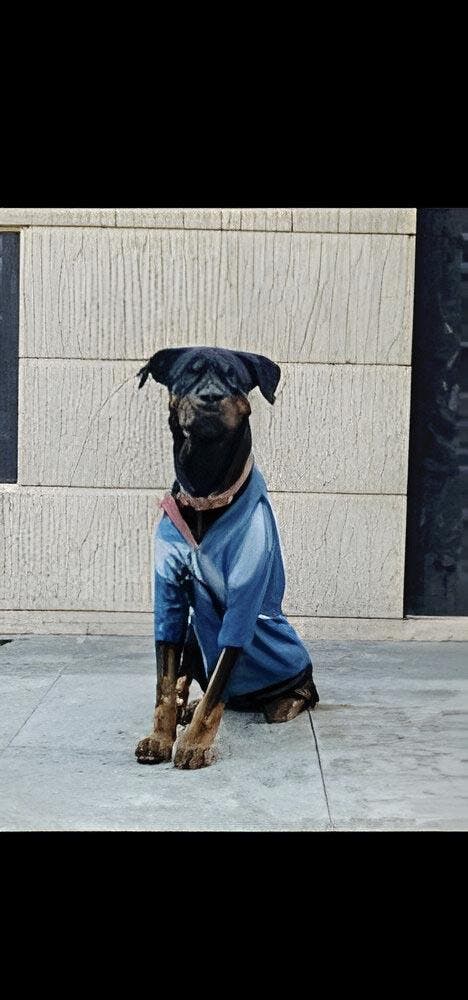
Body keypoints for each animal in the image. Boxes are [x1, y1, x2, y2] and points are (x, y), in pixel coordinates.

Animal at [135, 348, 318, 768]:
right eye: (188, 374)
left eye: (233, 376)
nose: (210, 397)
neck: (206, 491)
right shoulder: (169, 596)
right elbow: (164, 681)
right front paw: (160, 737)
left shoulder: (242, 603)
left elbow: (219, 683)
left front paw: (193, 745)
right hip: (191, 631)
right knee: (188, 675)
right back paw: (186, 704)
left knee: (300, 692)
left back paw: (284, 701)